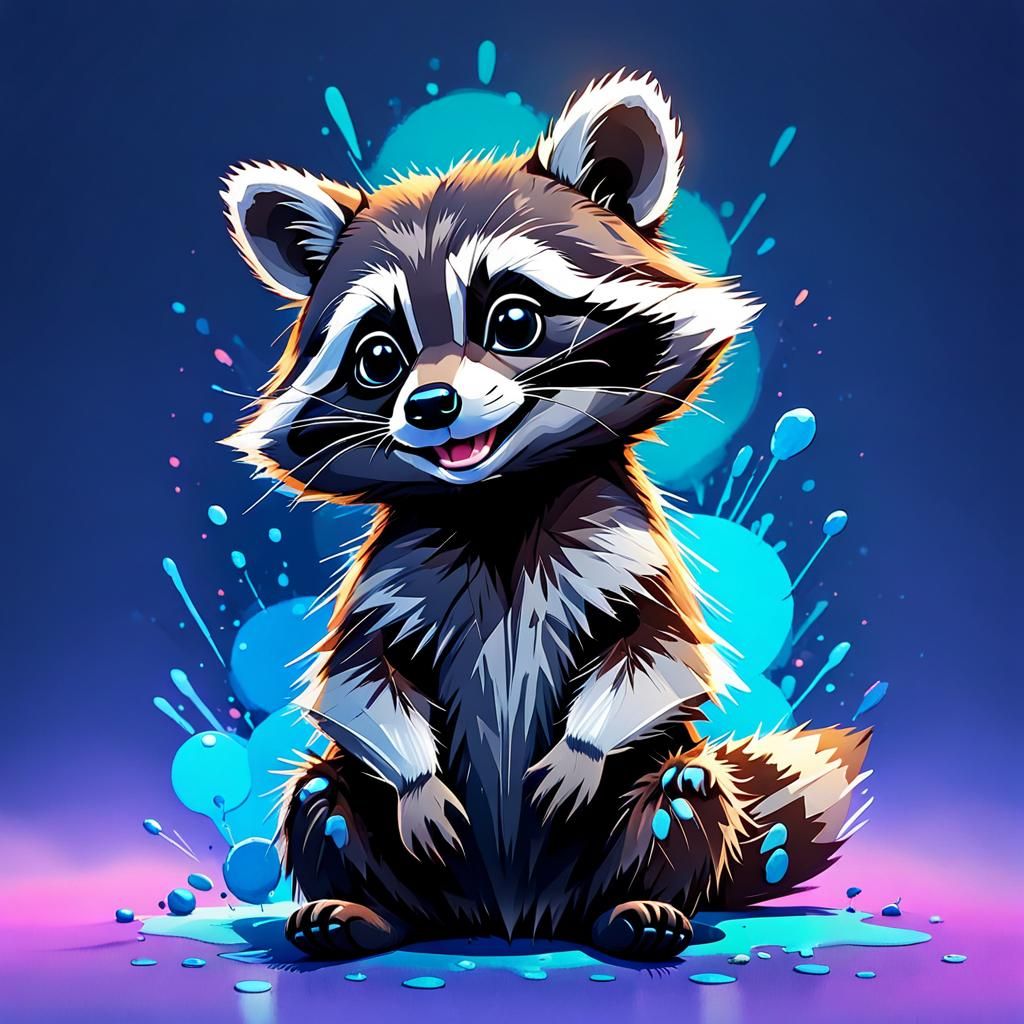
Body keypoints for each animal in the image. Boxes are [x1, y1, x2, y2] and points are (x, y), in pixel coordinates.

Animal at [221, 71, 872, 961]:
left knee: (686, 786)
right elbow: (359, 682)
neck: (496, 497)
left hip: (636, 829)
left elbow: (661, 654)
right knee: (321, 789)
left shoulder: (629, 552)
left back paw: (640, 904)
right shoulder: (390, 578)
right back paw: (361, 909)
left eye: (514, 321)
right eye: (380, 357)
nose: (431, 406)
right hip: (400, 856)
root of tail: (511, 916)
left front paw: (581, 750)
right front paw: (418, 782)